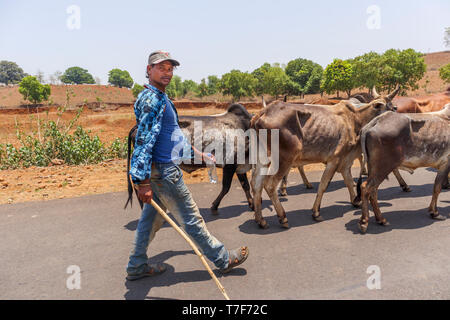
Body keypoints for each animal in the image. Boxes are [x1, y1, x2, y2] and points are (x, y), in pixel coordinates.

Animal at [251, 89, 400, 229]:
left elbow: (348, 180)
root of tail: (262, 113)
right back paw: (282, 218)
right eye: (391, 108)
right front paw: (316, 212)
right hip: (284, 159)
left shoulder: (345, 160)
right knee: (270, 185)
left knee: (256, 184)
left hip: (262, 159)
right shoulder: (334, 160)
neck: (355, 119)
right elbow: (323, 185)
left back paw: (261, 220)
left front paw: (354, 200)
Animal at [356, 106, 448, 234]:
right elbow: (437, 188)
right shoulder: (445, 164)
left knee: (373, 191)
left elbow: (436, 188)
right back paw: (364, 222)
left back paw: (381, 219)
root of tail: (376, 121)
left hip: (374, 168)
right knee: (365, 188)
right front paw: (435, 212)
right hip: (383, 168)